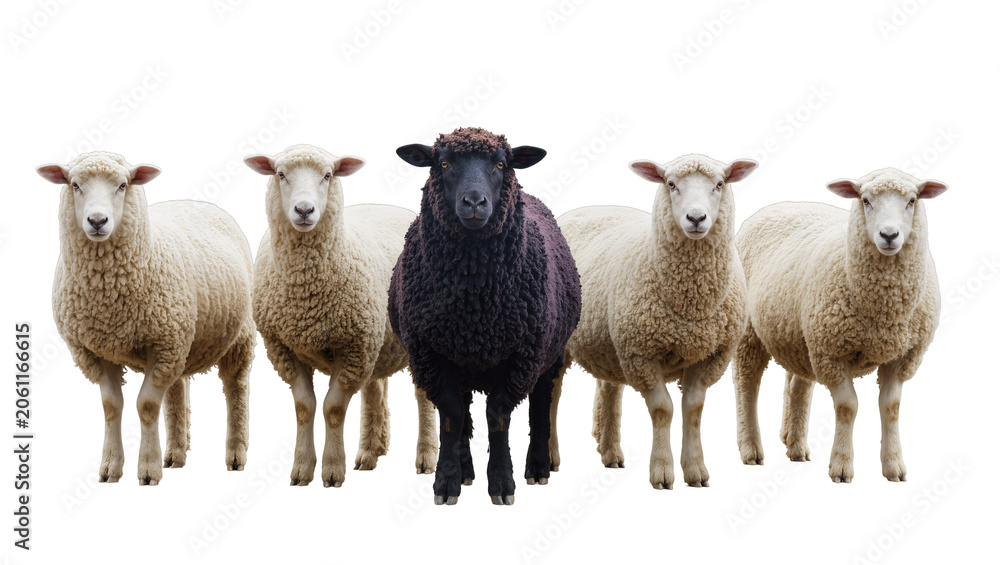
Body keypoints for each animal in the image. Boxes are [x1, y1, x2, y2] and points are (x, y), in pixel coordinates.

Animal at [37, 151, 254, 485]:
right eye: (74, 184)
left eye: (123, 185)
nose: (97, 221)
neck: (107, 298)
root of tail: (196, 202)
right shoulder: (97, 352)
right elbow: (112, 407)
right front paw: (110, 467)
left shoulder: (162, 343)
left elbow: (148, 405)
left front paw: (148, 469)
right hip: (182, 339)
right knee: (178, 388)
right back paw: (176, 454)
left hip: (237, 335)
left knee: (235, 388)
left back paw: (235, 454)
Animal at [245, 144, 437, 487]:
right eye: (280, 174)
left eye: (328, 175)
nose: (304, 210)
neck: (305, 292)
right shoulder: (284, 348)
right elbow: (304, 407)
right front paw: (302, 469)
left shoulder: (353, 348)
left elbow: (333, 408)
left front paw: (333, 470)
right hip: (378, 339)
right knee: (375, 389)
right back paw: (369, 453)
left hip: (415, 336)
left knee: (423, 394)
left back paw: (426, 457)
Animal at [389, 127, 581, 505]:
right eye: (443, 163)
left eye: (501, 164)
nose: (475, 203)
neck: (474, 301)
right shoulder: (430, 353)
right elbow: (452, 415)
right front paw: (447, 481)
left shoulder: (521, 355)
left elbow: (498, 416)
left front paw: (503, 482)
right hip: (459, 358)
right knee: (463, 409)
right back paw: (465, 471)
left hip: (550, 353)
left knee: (541, 404)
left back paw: (538, 466)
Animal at [553, 154, 758, 489]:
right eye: (670, 184)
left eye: (719, 184)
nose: (696, 218)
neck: (691, 303)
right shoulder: (641, 354)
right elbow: (663, 409)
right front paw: (662, 471)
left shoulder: (711, 355)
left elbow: (693, 409)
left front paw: (696, 470)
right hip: (559, 343)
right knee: (552, 394)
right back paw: (550, 456)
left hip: (608, 343)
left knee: (609, 389)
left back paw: (611, 453)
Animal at [733, 168, 947, 483]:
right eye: (865, 200)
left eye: (912, 200)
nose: (889, 235)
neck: (884, 311)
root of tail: (779, 205)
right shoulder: (832, 353)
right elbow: (848, 407)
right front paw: (842, 466)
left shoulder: (903, 356)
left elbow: (891, 407)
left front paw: (894, 466)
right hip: (752, 333)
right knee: (747, 383)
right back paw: (751, 449)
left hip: (800, 337)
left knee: (797, 386)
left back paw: (796, 447)